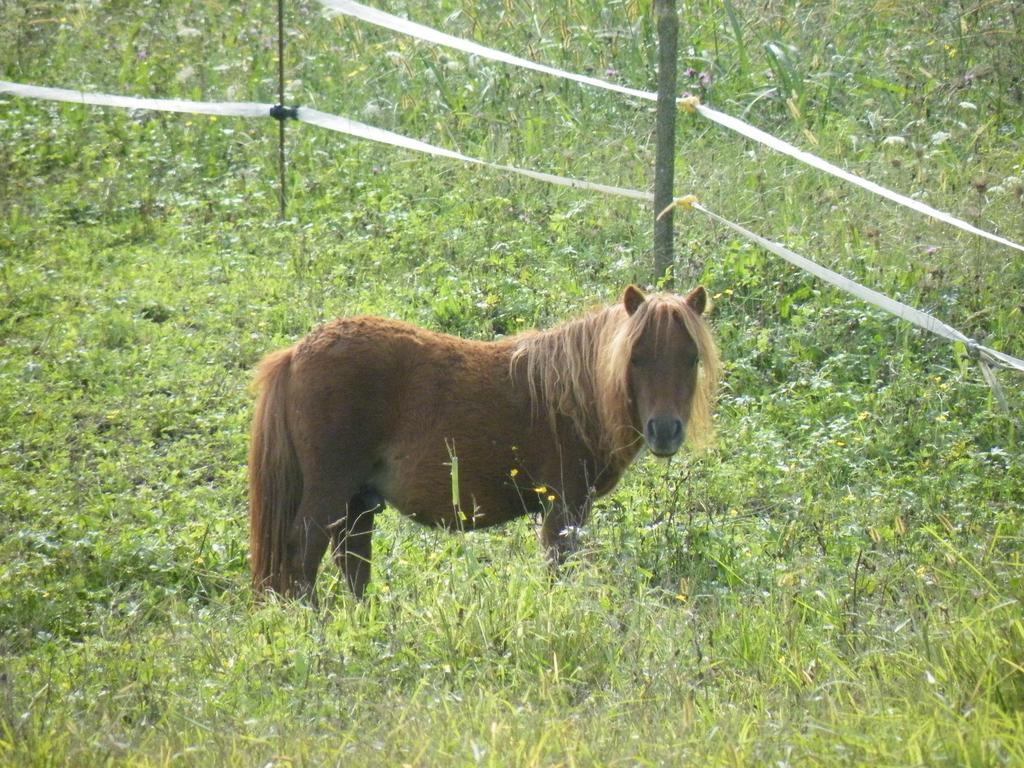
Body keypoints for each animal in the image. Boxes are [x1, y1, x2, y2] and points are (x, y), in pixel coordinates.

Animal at [250, 286, 720, 598]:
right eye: (635, 358)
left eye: (691, 357)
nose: (665, 430)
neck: (570, 394)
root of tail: (297, 352)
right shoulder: (564, 506)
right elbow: (558, 568)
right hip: (330, 491)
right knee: (302, 552)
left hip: (357, 502)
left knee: (352, 563)